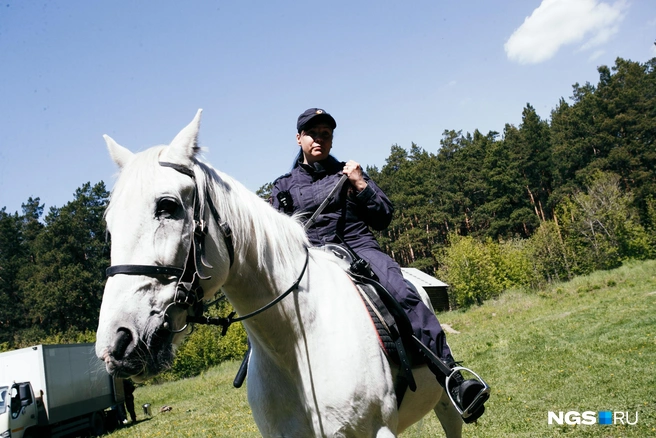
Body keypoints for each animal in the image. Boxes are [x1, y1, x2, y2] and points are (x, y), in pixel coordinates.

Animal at [95, 111, 464, 436]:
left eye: (167, 206)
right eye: (110, 224)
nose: (118, 343)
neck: (295, 345)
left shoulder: (378, 431)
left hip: (447, 407)